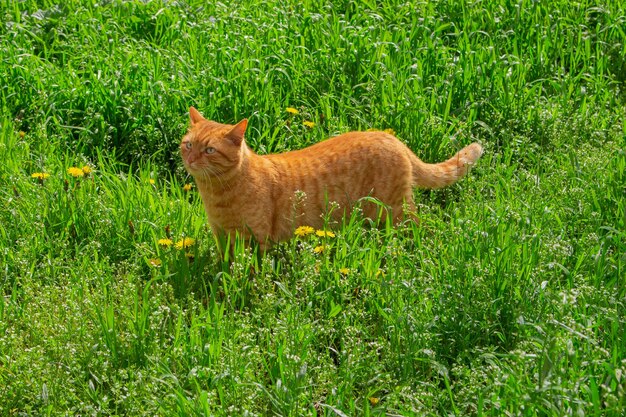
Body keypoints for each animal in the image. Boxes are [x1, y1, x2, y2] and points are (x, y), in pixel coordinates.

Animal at [180, 106, 482, 250]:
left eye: (209, 150)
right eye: (188, 145)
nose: (191, 159)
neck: (217, 194)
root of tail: (390, 137)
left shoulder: (256, 239)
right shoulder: (221, 236)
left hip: (396, 213)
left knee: (417, 230)